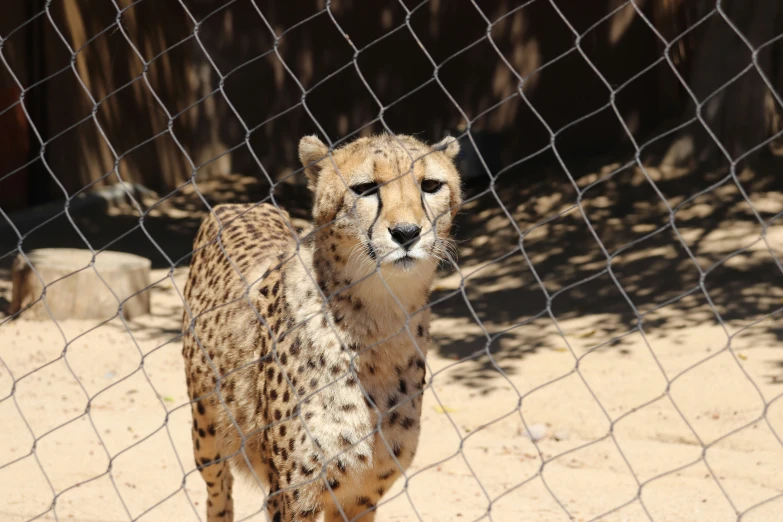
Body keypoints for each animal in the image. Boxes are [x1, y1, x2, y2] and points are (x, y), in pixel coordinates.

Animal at [181, 133, 462, 520]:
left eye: (431, 185)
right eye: (365, 188)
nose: (406, 233)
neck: (380, 320)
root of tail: (238, 204)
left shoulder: (361, 497)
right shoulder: (293, 496)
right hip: (206, 432)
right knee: (218, 492)